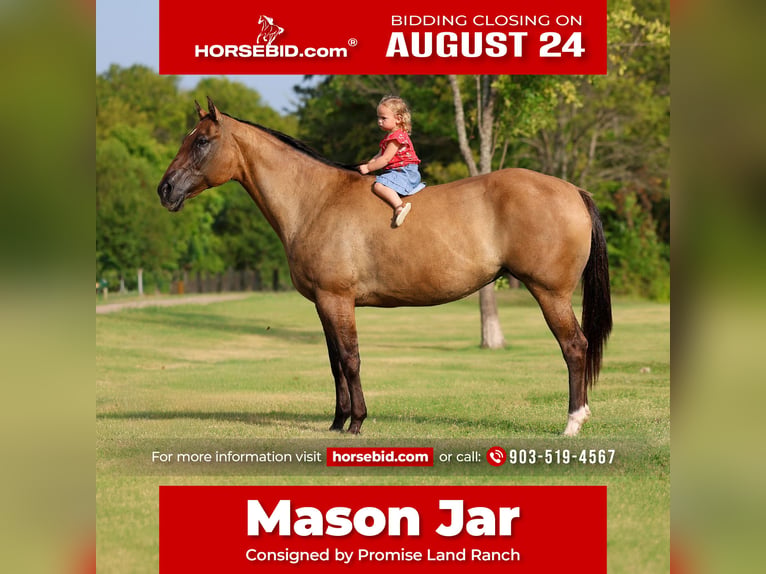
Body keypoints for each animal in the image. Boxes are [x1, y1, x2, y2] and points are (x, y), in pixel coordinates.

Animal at [157, 98, 612, 436]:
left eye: (201, 141)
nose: (165, 189)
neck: (315, 199)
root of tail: (572, 190)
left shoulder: (337, 299)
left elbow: (351, 358)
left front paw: (357, 422)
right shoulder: (323, 303)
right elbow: (334, 362)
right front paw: (337, 422)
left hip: (550, 293)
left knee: (575, 347)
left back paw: (572, 423)